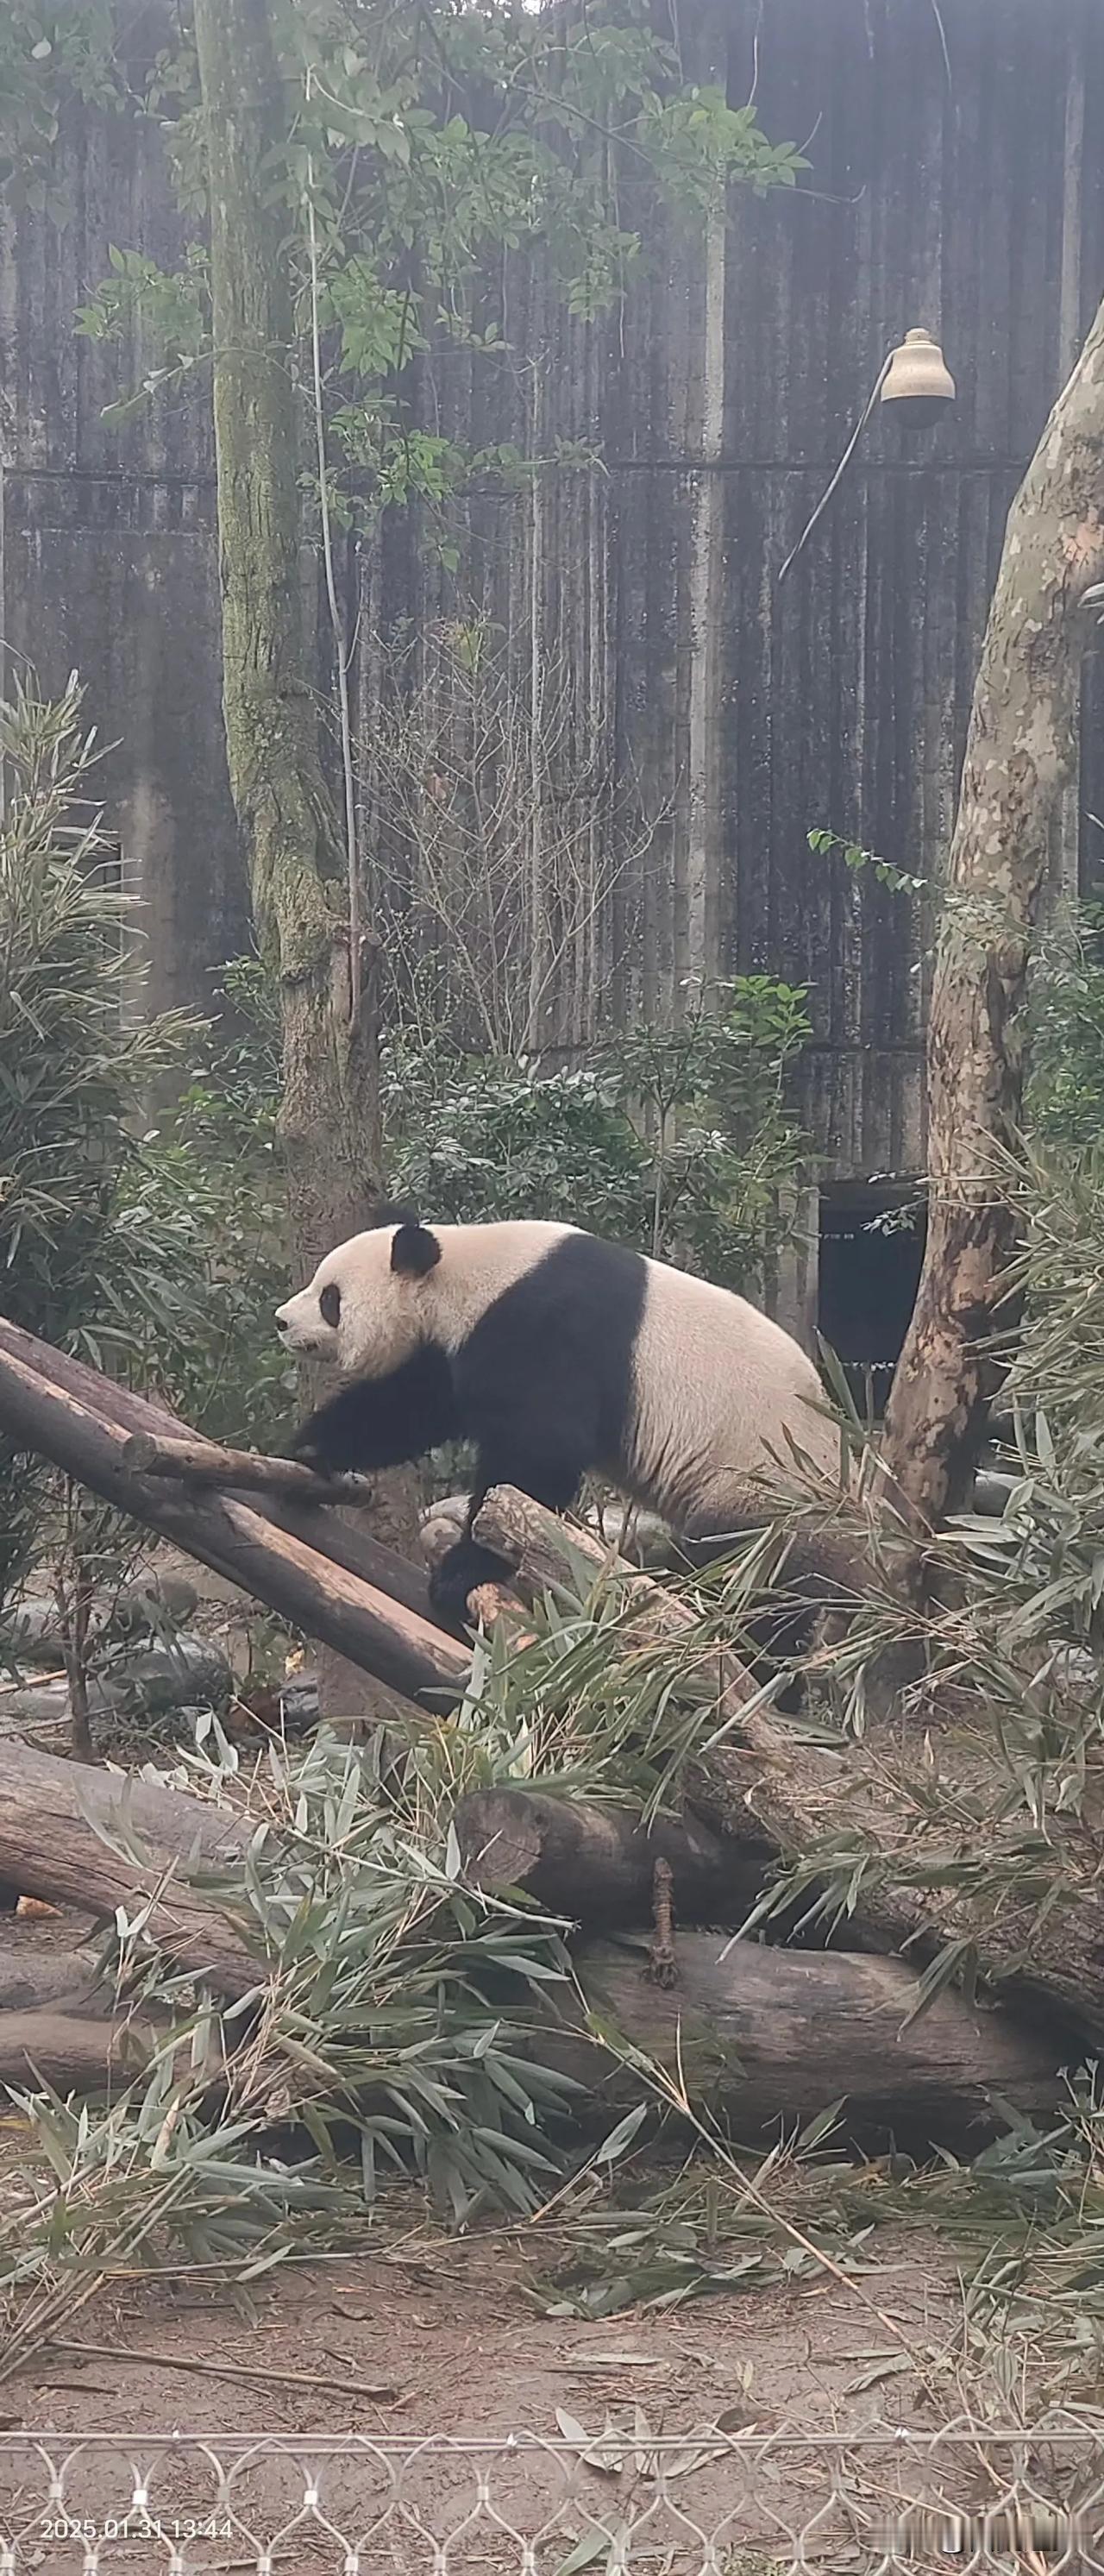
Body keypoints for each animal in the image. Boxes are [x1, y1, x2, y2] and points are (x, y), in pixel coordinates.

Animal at [275, 1205, 844, 1628]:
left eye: (330, 1298)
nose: (281, 1321)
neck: (464, 1273)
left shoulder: (544, 1326)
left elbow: (536, 1456)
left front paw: (462, 1573)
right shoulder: (458, 1346)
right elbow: (410, 1408)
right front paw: (311, 1446)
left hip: (759, 1486)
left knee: (749, 1580)